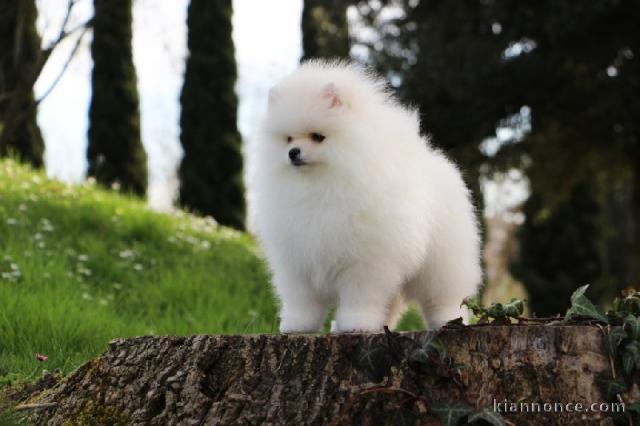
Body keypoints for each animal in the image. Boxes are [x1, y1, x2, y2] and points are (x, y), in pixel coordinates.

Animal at [250, 60, 480, 332]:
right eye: (287, 139)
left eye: (317, 136)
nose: (293, 152)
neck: (320, 185)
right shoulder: (298, 261)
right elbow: (302, 300)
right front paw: (298, 325)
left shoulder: (365, 261)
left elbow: (360, 296)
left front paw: (356, 322)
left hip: (442, 262)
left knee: (445, 296)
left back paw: (447, 320)